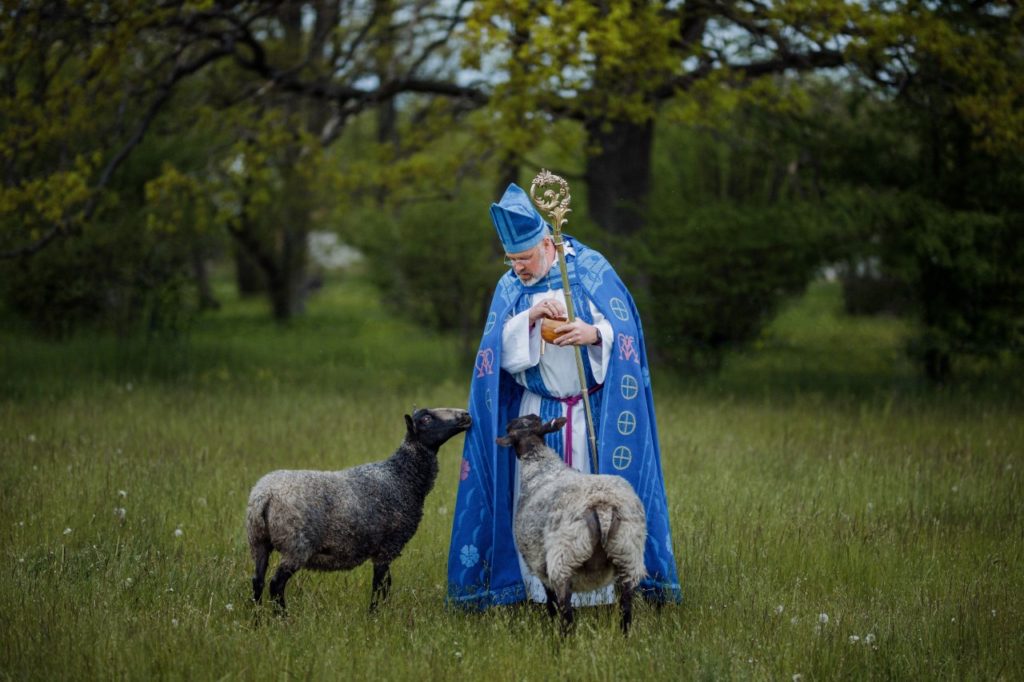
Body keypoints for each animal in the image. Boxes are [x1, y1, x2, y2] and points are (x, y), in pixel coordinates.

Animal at [247, 405, 471, 606]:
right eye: (426, 419)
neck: (401, 475)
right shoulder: (387, 546)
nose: (466, 415)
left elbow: (385, 585)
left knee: (257, 582)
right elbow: (380, 586)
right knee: (276, 585)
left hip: (259, 541)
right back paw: (283, 618)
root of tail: (264, 496)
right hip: (296, 544)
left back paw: (258, 619)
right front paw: (376, 615)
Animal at [497, 411, 647, 634]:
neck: (539, 465)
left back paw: (562, 639)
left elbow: (550, 601)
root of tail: (603, 508)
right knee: (626, 609)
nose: (512, 420)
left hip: (564, 558)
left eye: (510, 428)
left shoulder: (538, 562)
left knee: (566, 611)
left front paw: (549, 623)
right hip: (628, 553)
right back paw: (624, 637)